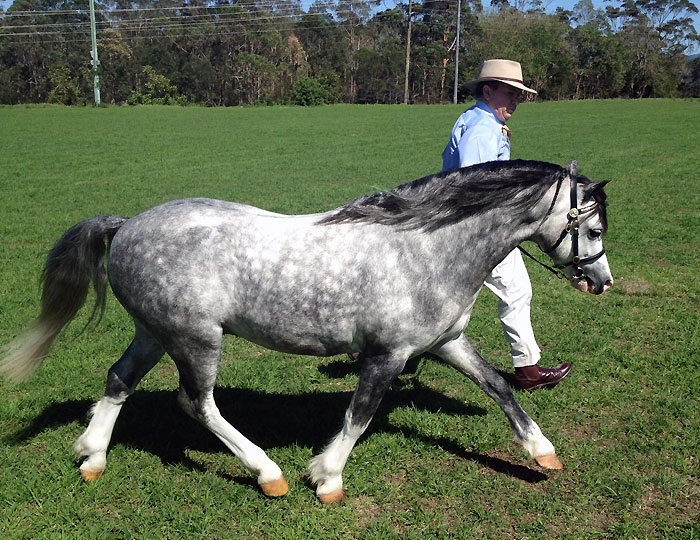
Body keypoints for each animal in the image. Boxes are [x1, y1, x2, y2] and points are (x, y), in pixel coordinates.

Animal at [0, 159, 613, 504]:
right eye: (595, 228)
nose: (601, 282)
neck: (428, 248)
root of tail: (126, 225)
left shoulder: (444, 344)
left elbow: (500, 386)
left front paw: (542, 453)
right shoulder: (387, 354)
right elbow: (359, 415)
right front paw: (327, 478)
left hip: (154, 333)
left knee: (118, 379)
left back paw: (92, 457)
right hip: (196, 339)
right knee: (196, 403)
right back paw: (268, 475)